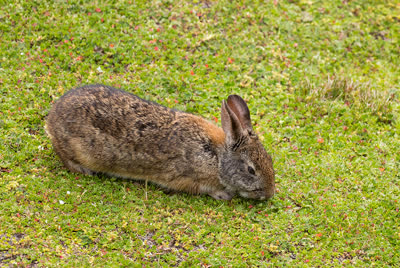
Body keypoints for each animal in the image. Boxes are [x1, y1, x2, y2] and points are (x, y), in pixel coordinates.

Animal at [44, 85, 276, 200]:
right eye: (251, 170)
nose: (269, 194)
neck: (217, 157)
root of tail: (53, 116)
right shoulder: (187, 178)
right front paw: (223, 194)